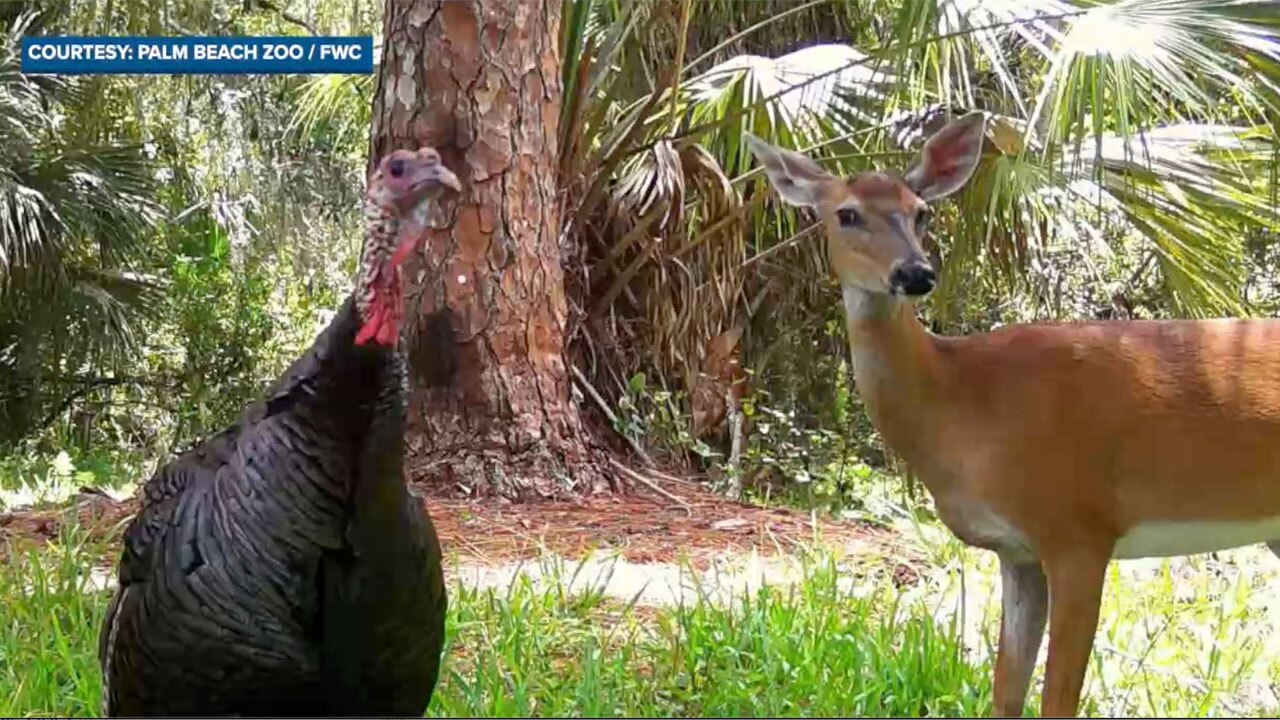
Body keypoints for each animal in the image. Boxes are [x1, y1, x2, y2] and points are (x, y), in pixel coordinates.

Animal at [744, 112, 1280, 718]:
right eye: (846, 214)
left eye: (921, 211)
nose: (915, 273)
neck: (965, 407)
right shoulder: (1015, 550)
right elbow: (1006, 692)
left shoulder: (1079, 528)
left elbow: (1058, 700)